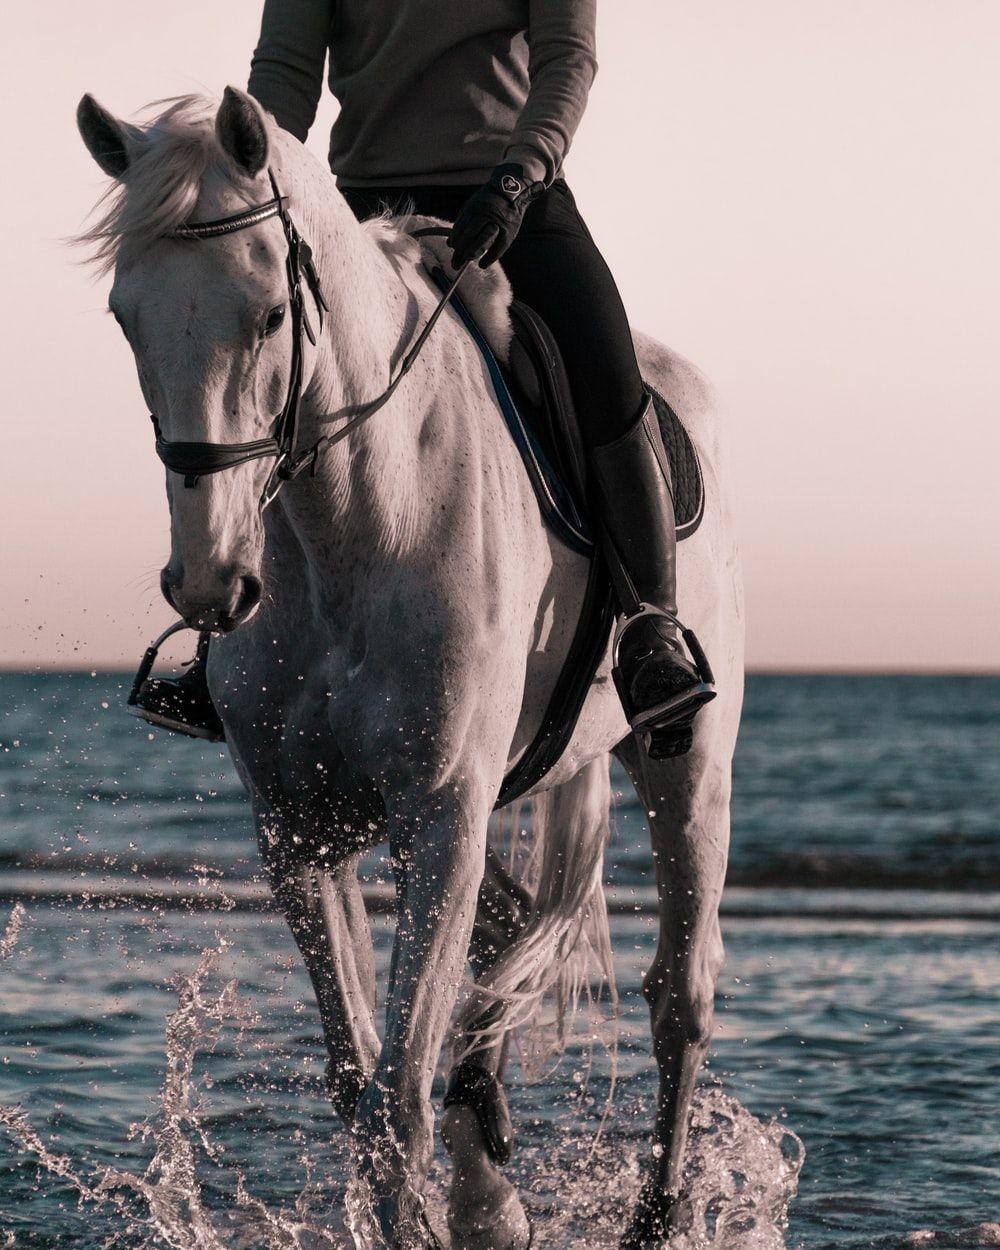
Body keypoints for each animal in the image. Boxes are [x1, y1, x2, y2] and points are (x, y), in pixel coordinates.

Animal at [76, 87, 744, 1250]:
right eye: (127, 318)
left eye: (268, 314)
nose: (209, 583)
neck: (355, 519)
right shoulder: (299, 831)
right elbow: (359, 1082)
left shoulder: (437, 814)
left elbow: (395, 1089)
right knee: (513, 940)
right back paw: (490, 1188)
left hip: (686, 761)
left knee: (679, 997)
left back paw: (651, 1216)